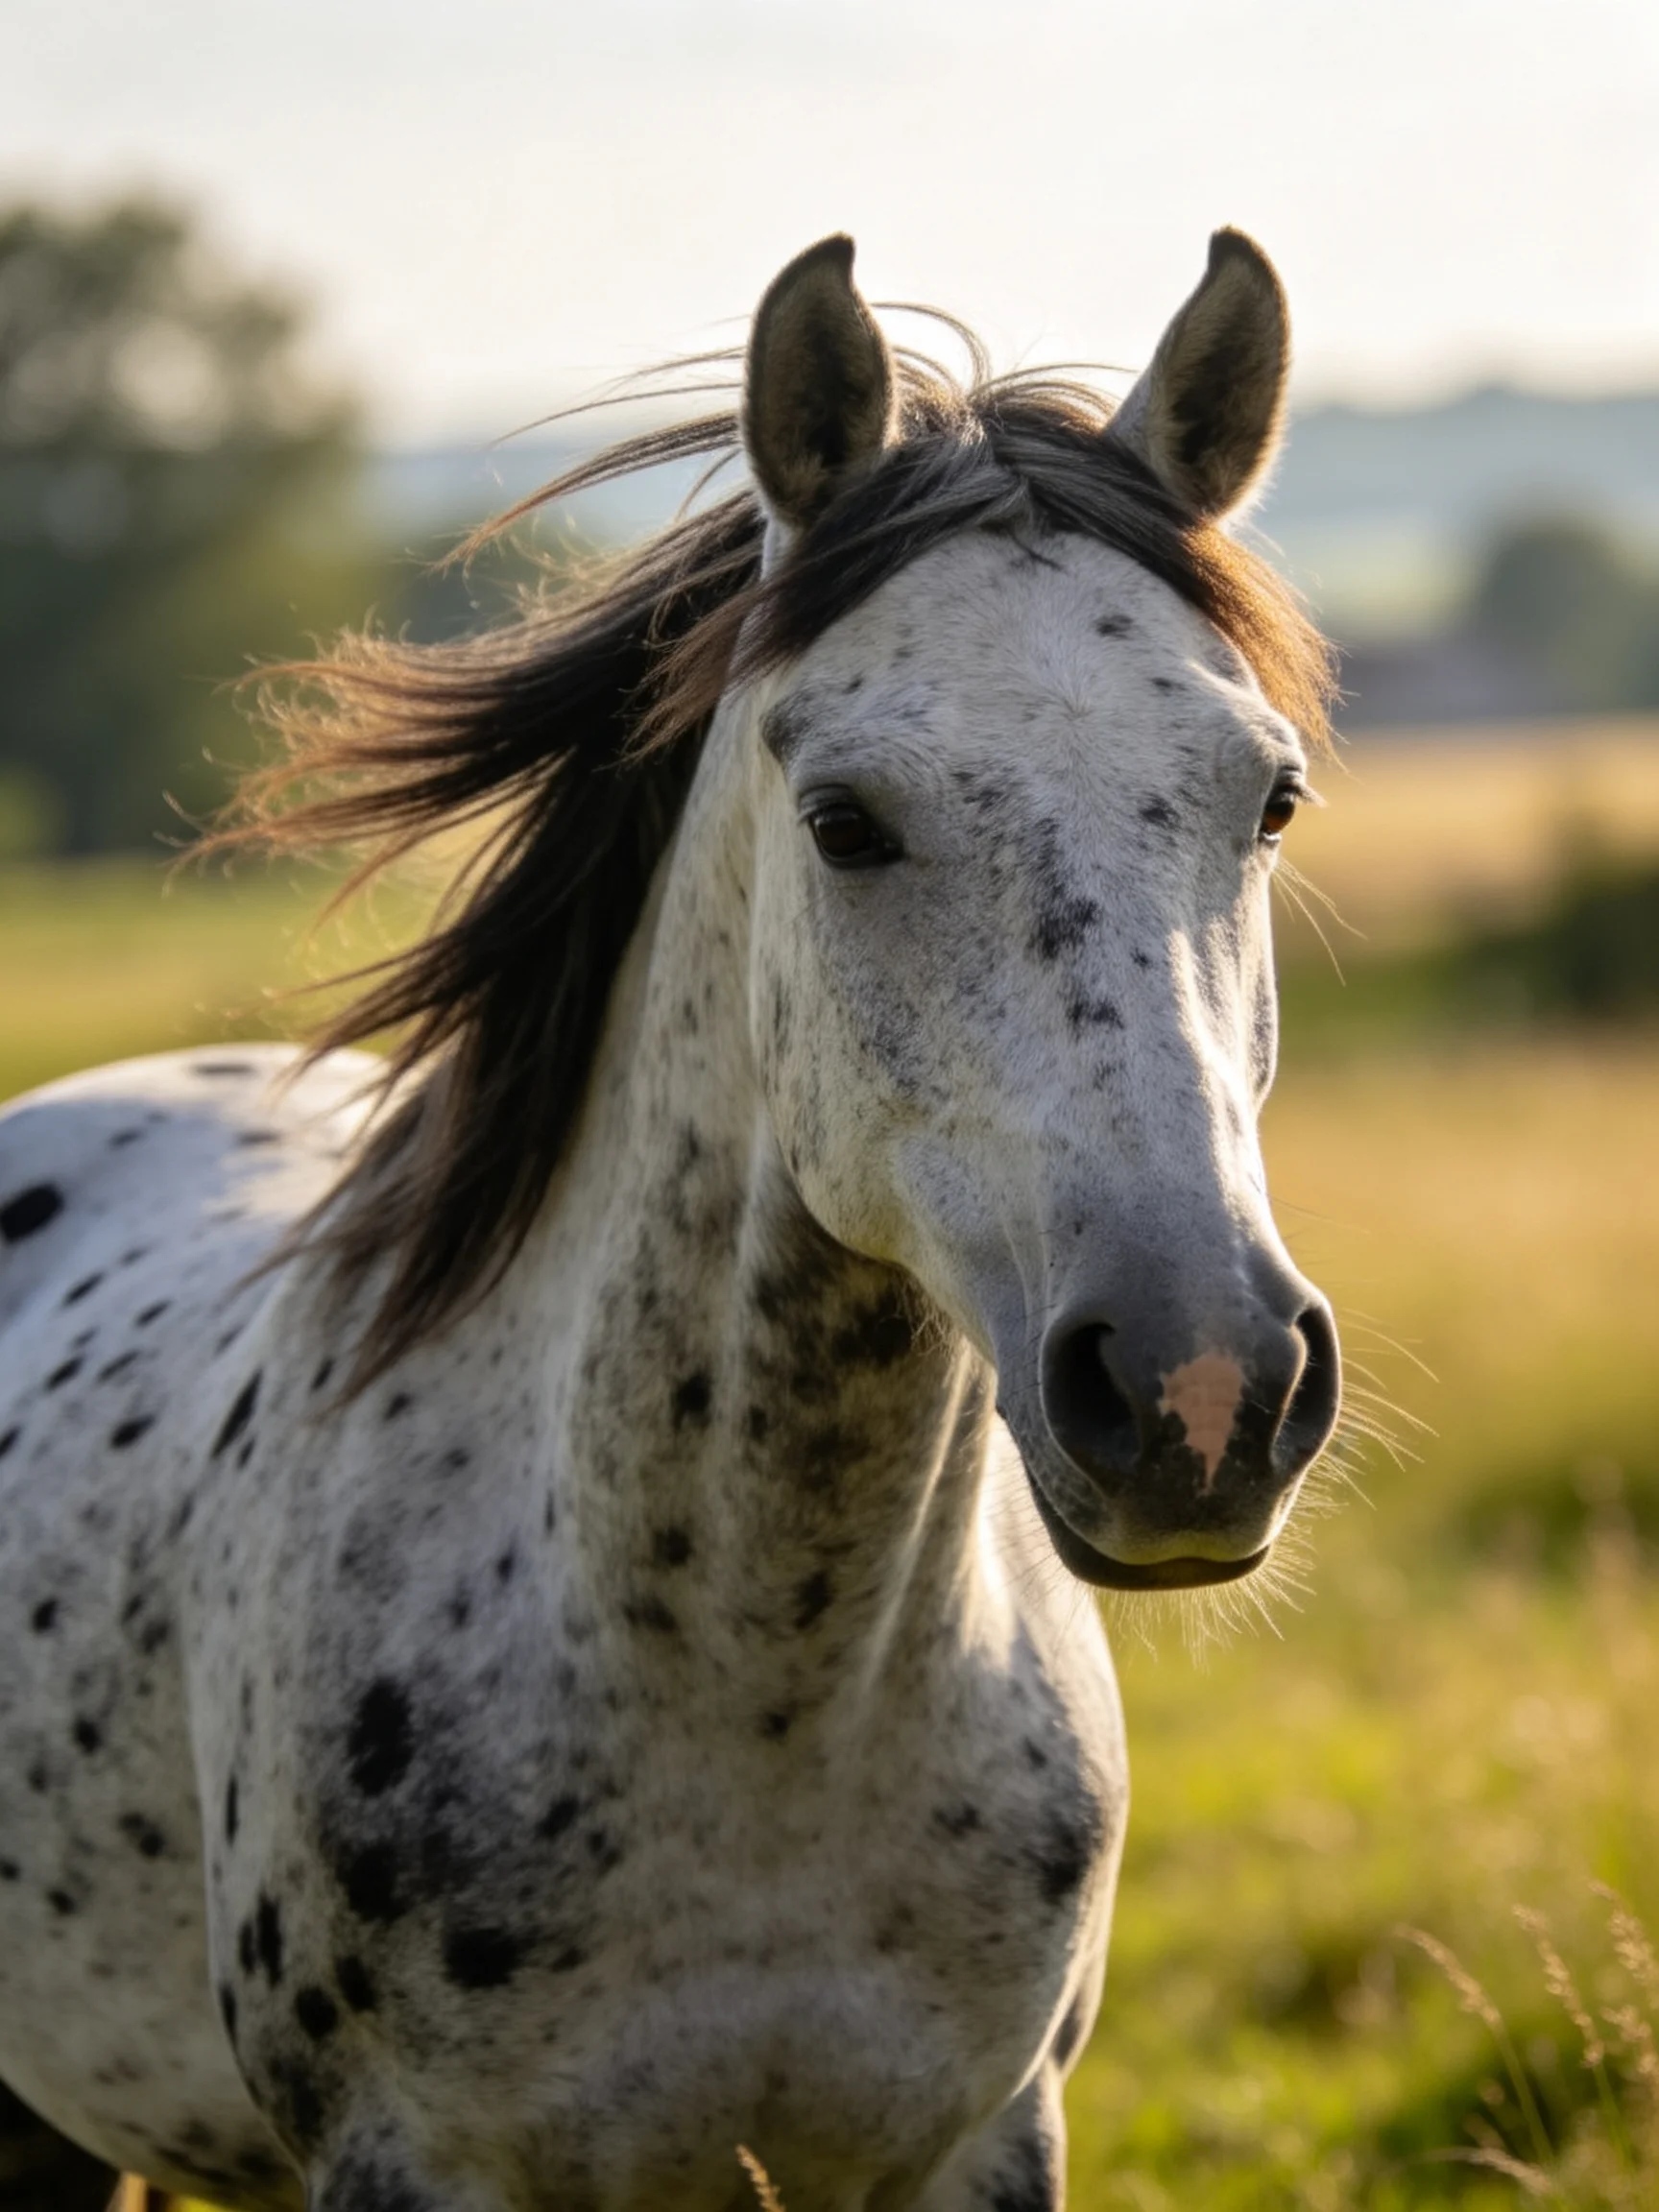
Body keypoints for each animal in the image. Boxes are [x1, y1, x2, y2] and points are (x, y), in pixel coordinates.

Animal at [0, 228, 1340, 2212]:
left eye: (1270, 796)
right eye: (843, 820)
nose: (1201, 1389)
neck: (755, 1699)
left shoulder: (982, 2138)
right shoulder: (411, 2159)